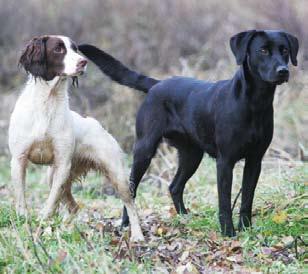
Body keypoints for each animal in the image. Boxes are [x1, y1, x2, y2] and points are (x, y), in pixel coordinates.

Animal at [8, 35, 144, 242]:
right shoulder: (19, 160)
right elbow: (22, 202)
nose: (83, 62)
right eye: (58, 49)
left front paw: (41, 228)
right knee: (73, 207)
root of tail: (97, 124)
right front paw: (27, 227)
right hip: (53, 175)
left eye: (75, 49)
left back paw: (137, 235)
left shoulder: (62, 164)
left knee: (130, 204)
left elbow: (49, 205)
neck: (47, 102)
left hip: (116, 175)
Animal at [79, 30, 298, 235]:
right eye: (263, 50)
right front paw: (228, 232)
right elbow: (225, 202)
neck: (255, 103)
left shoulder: (255, 160)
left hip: (191, 154)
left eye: (285, 51)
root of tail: (156, 84)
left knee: (174, 186)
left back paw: (185, 218)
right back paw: (127, 223)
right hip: (144, 149)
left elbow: (247, 199)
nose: (283, 71)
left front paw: (246, 229)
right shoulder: (225, 161)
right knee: (131, 190)